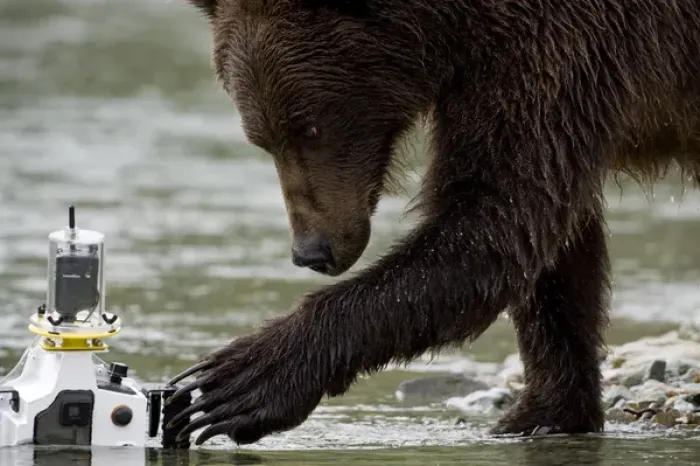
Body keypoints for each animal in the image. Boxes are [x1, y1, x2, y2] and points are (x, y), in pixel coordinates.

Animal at [164, 0, 700, 446]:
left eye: (310, 128)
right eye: (261, 139)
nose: (311, 250)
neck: (452, 27)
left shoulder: (559, 48)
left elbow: (492, 221)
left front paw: (237, 382)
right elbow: (551, 249)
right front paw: (542, 414)